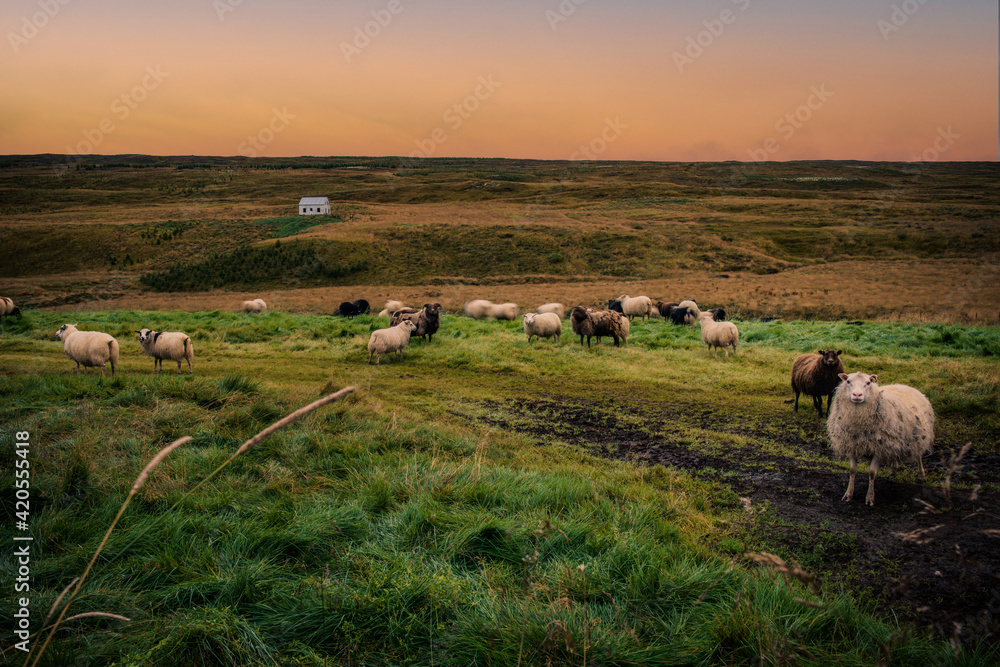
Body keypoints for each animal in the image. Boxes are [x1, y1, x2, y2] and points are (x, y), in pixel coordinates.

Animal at [827, 372, 935, 506]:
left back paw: (921, 475)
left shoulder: (878, 448)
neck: (858, 420)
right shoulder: (851, 444)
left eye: (868, 383)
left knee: (918, 456)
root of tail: (904, 385)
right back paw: (893, 469)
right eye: (848, 381)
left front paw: (870, 498)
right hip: (893, 439)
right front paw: (849, 494)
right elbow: (852, 470)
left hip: (918, 436)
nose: (857, 395)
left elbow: (872, 473)